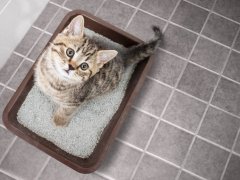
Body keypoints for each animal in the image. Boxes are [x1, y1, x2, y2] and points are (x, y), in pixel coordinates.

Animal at [34, 14, 162, 126]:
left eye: (84, 66)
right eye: (70, 52)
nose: (71, 67)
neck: (53, 77)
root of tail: (122, 56)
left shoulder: (74, 102)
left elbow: (66, 111)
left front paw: (59, 122)